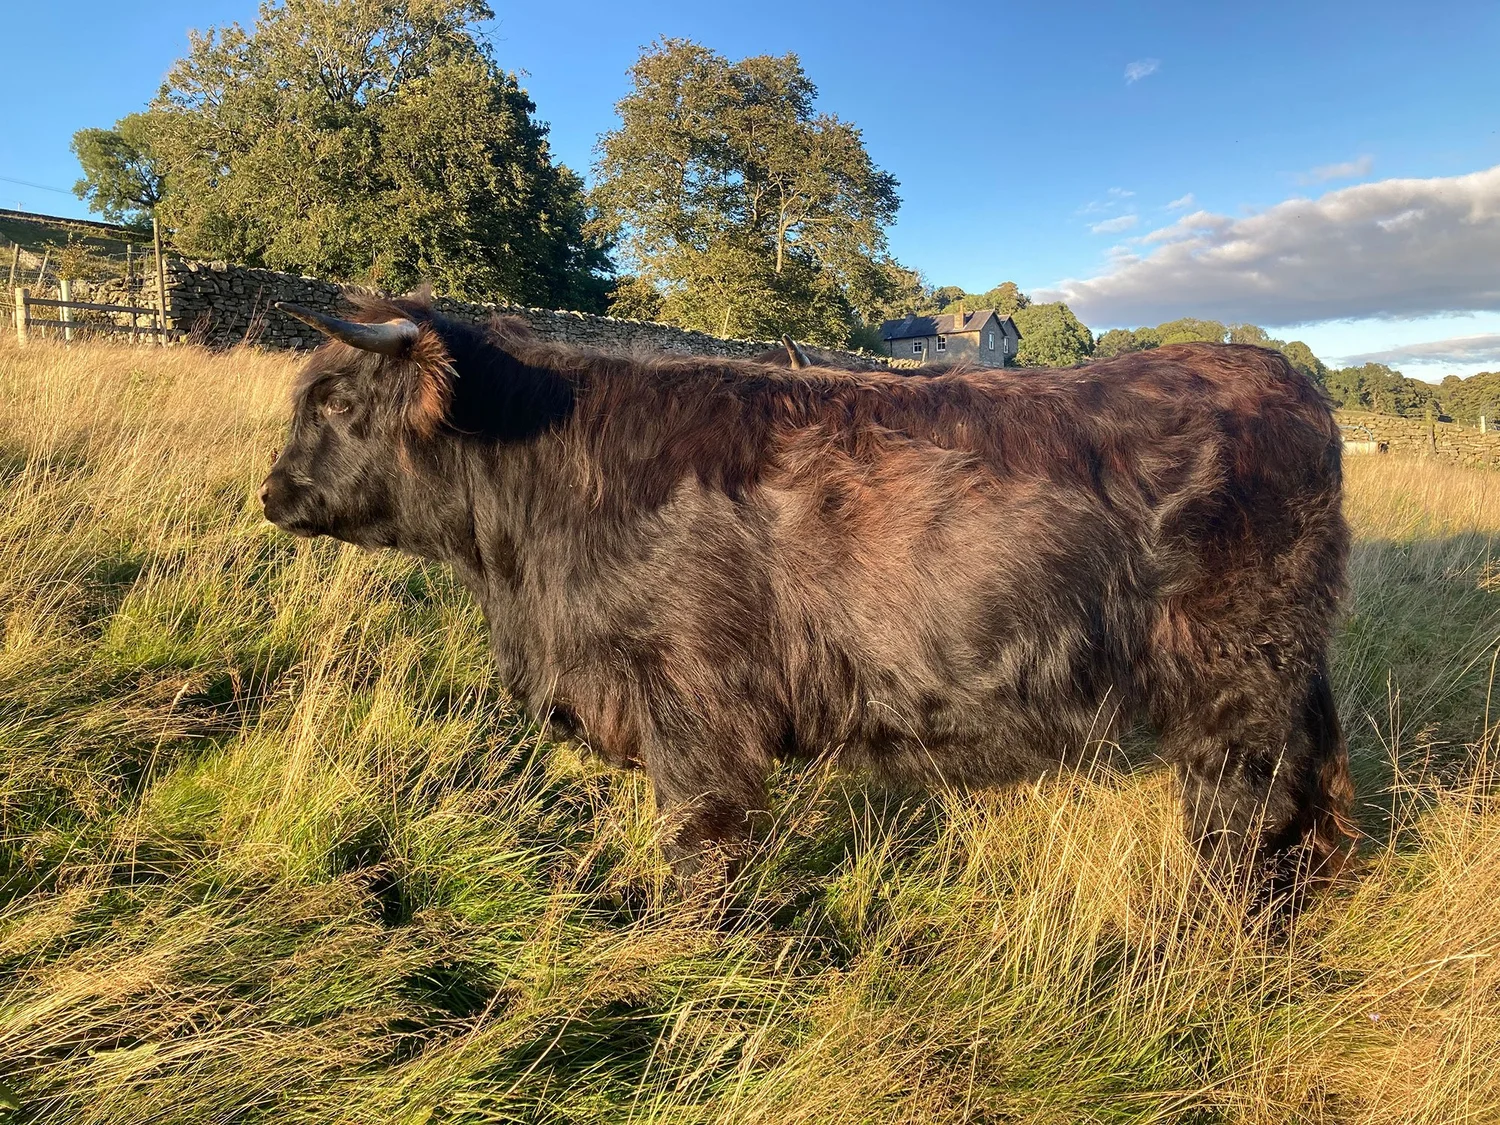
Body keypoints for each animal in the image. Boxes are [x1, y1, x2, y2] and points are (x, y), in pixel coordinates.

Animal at [261, 296, 1354, 891]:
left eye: (338, 401)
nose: (273, 493)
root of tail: (1285, 377)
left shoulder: (694, 706)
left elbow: (698, 854)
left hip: (1239, 677)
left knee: (1242, 811)